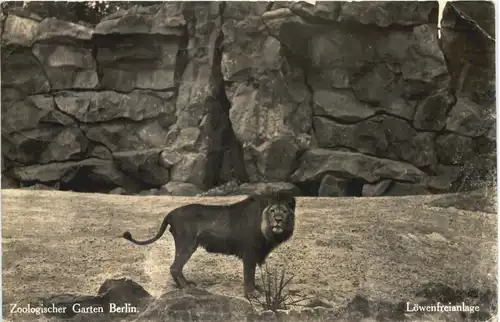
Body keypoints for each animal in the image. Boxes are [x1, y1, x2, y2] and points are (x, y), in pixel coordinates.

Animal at [121, 194, 294, 296]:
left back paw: (185, 285)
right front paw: (252, 294)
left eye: (284, 211)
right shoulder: (249, 252)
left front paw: (257, 290)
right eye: (273, 211)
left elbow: (251, 275)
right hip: (187, 243)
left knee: (176, 267)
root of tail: (171, 212)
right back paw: (187, 288)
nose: (278, 220)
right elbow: (248, 274)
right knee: (175, 267)